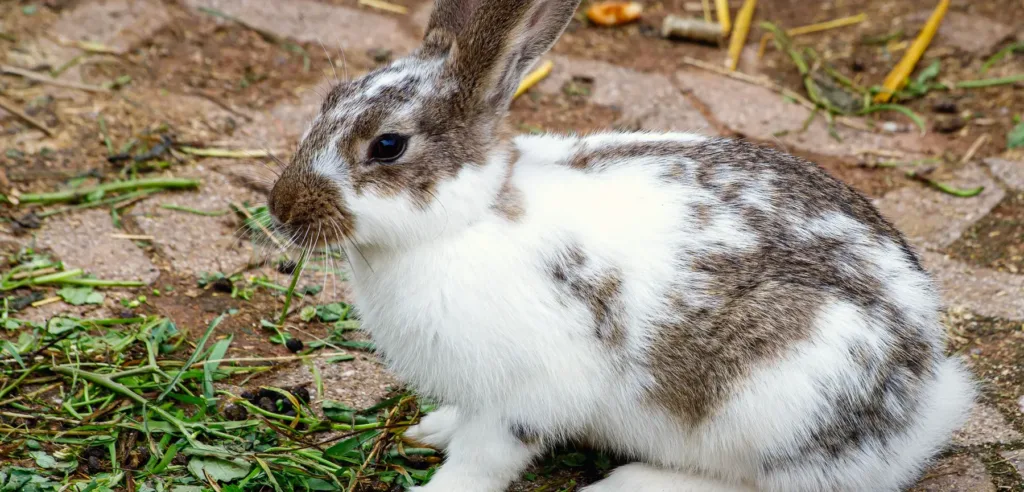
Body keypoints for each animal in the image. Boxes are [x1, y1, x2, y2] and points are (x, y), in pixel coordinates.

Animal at [265, 0, 976, 489]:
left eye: (388, 146)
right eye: (329, 98)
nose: (281, 209)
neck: (463, 222)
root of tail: (919, 408)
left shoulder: (523, 396)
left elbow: (483, 460)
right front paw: (432, 427)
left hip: (781, 399)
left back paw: (632, 482)